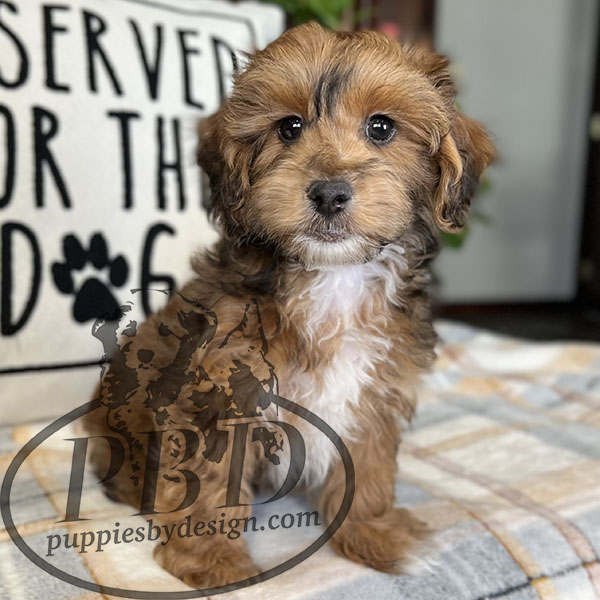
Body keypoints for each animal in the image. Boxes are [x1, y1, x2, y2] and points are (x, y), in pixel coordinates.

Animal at [84, 22, 494, 589]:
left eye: (381, 127)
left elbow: (369, 467)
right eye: (289, 127)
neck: (332, 276)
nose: (329, 193)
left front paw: (371, 531)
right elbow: (207, 477)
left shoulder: (375, 391)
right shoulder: (216, 393)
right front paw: (209, 558)